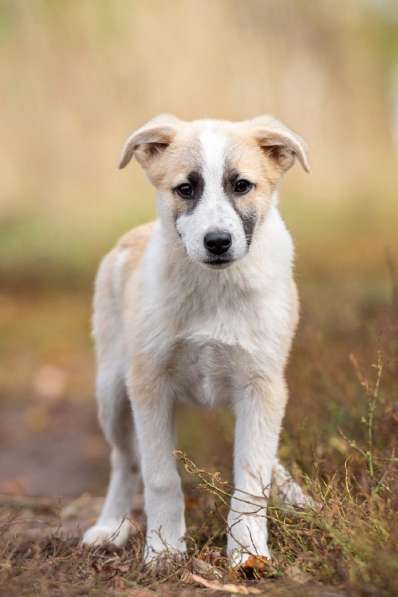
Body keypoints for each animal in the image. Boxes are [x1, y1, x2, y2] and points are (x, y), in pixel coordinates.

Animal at [81, 114, 310, 564]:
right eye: (185, 189)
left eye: (242, 185)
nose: (217, 242)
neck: (213, 288)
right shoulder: (150, 385)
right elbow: (160, 477)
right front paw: (165, 549)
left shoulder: (262, 385)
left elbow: (251, 478)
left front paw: (248, 552)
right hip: (112, 393)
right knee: (125, 461)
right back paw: (110, 526)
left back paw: (293, 493)